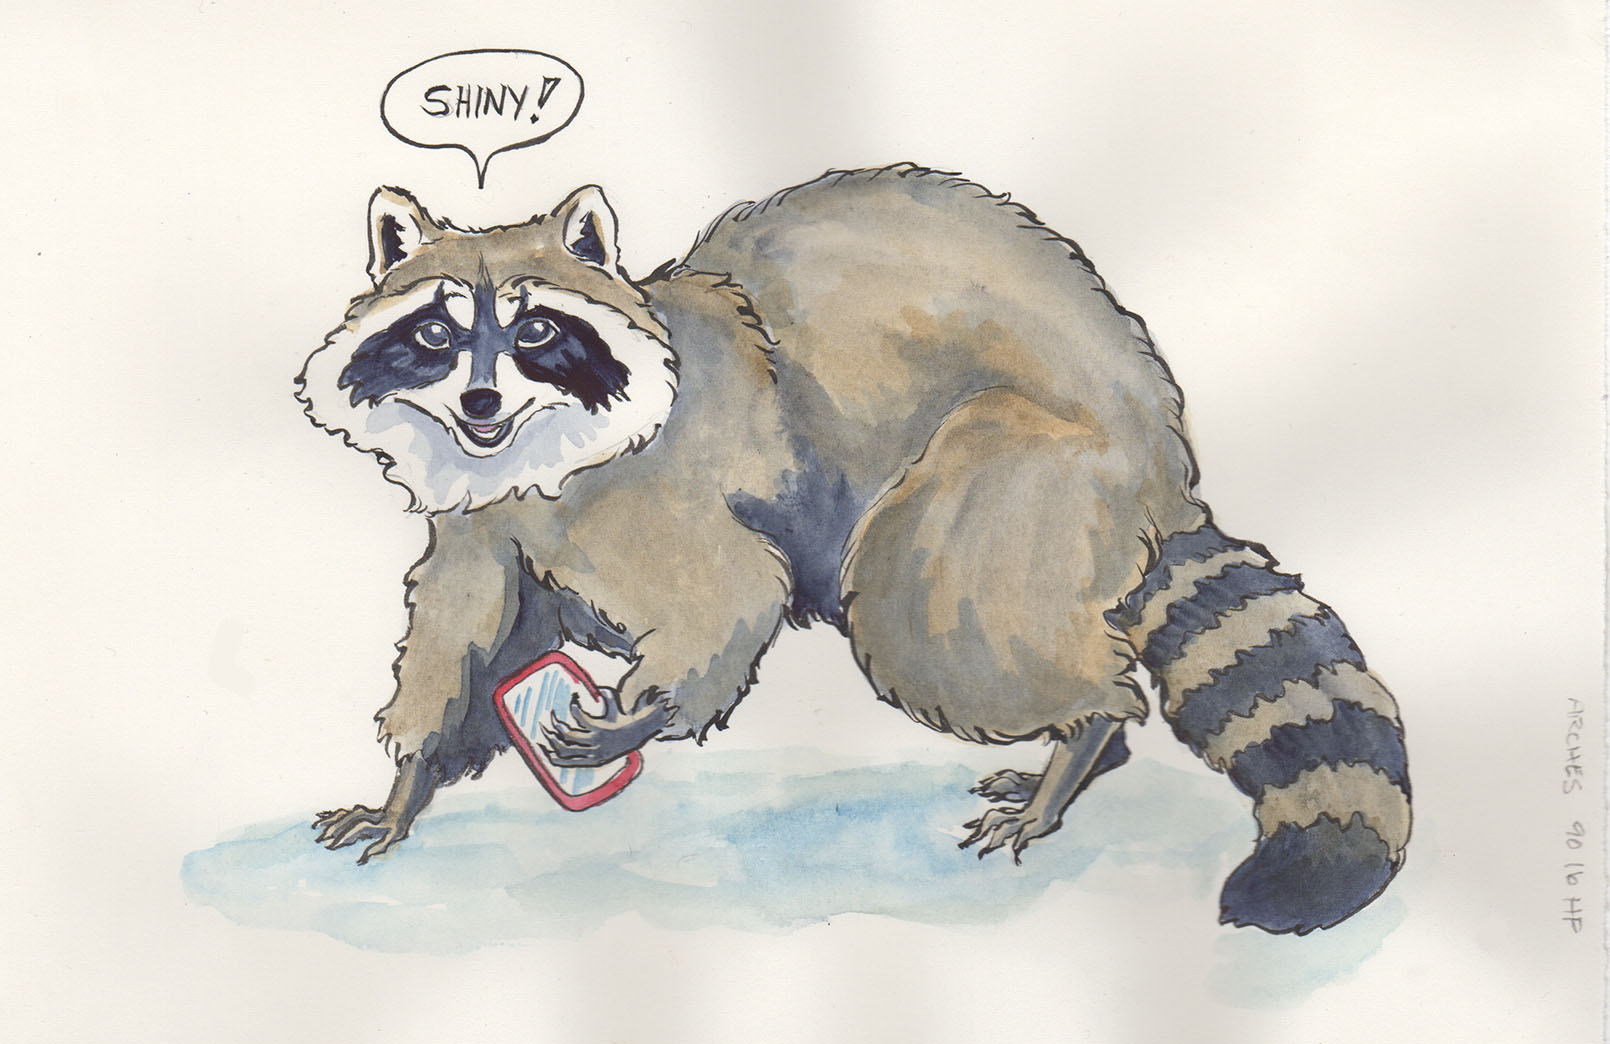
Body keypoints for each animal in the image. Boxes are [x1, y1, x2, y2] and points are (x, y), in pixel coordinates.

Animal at [297, 163, 1410, 934]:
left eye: (535, 334)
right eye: (435, 336)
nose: (481, 403)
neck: (531, 458)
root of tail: (1158, 451)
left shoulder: (658, 491)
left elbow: (733, 596)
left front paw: (642, 717)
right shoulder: (483, 521)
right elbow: (467, 639)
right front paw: (409, 783)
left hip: (1014, 471)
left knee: (919, 605)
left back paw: (1087, 729)